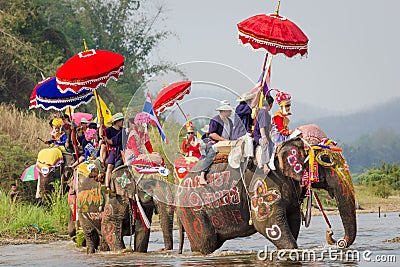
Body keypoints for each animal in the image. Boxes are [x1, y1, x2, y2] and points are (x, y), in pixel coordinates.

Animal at [177, 125, 358, 255]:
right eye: (325, 159)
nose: (331, 234)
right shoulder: (263, 182)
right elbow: (266, 224)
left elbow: (293, 220)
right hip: (193, 212)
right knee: (205, 243)